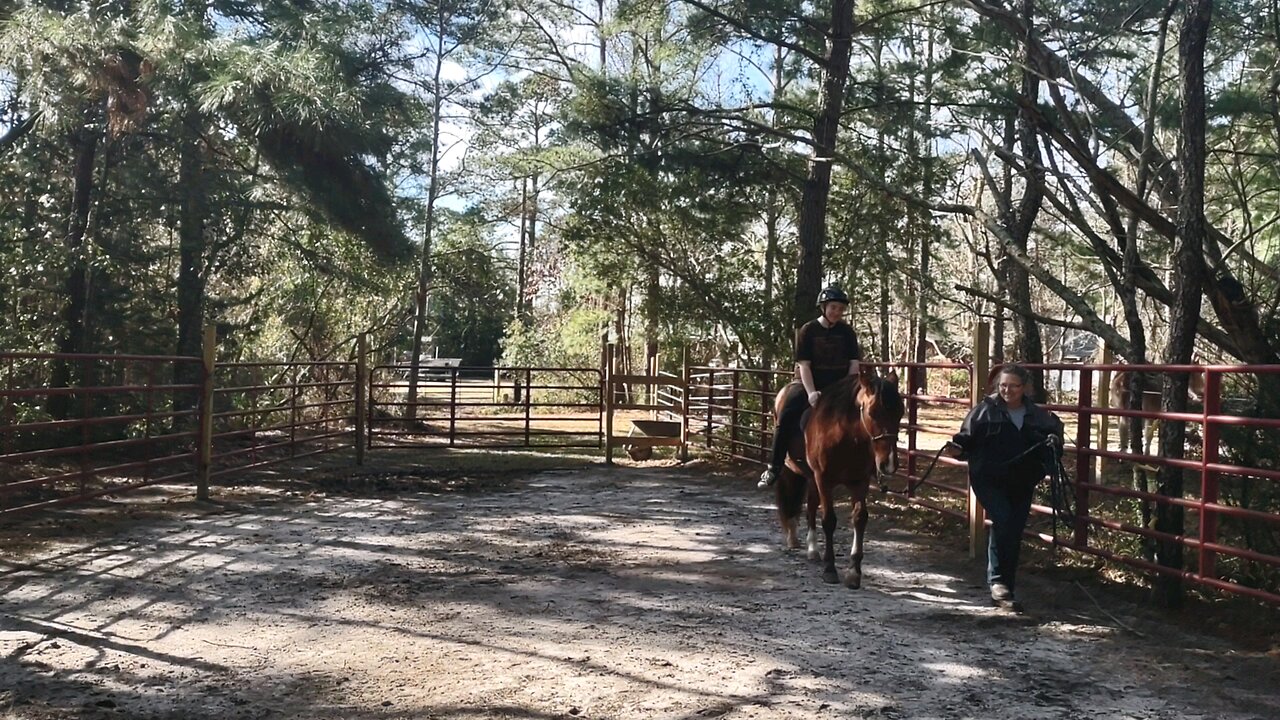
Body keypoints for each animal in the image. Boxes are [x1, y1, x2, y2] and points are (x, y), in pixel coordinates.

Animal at [762, 363, 906, 584]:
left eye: (900, 412)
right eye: (872, 412)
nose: (888, 464)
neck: (845, 436)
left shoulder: (859, 481)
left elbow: (860, 518)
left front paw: (854, 571)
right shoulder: (824, 479)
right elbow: (829, 520)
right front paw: (830, 569)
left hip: (812, 477)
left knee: (811, 506)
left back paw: (812, 549)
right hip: (794, 469)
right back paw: (794, 537)